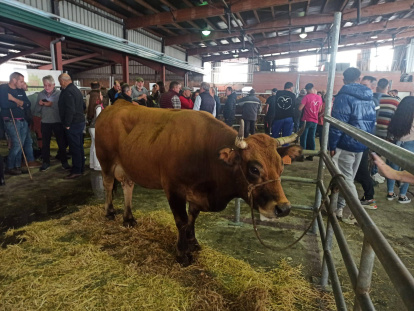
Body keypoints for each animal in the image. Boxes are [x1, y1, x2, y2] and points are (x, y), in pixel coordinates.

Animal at [97, 101, 304, 266]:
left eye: (281, 166)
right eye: (254, 169)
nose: (283, 208)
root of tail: (116, 105)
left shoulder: (196, 194)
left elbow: (192, 218)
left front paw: (193, 243)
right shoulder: (174, 189)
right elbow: (181, 221)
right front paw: (182, 253)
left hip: (128, 165)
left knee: (128, 186)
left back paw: (128, 218)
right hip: (106, 161)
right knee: (107, 185)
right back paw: (109, 212)